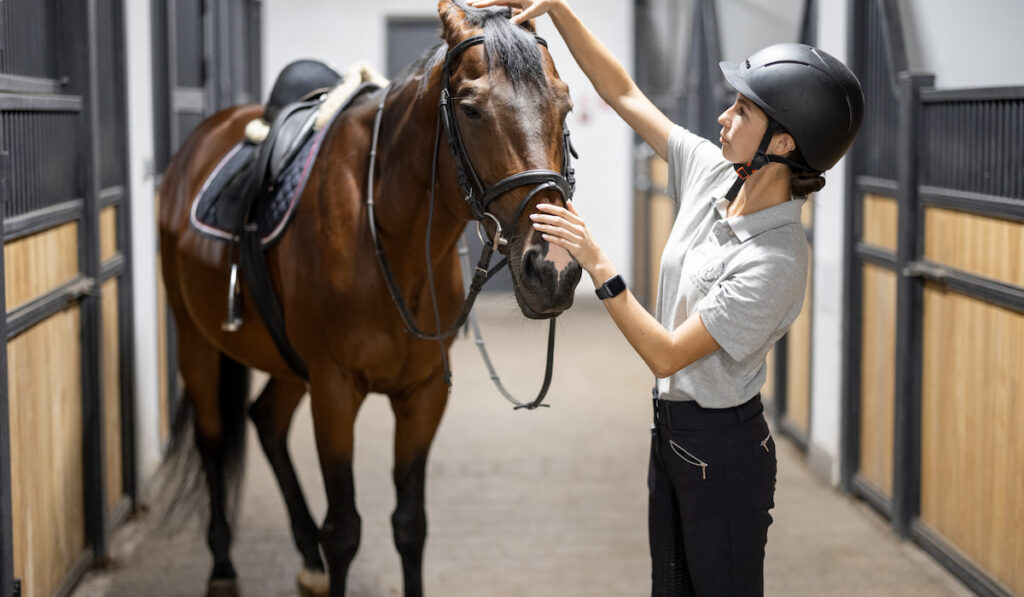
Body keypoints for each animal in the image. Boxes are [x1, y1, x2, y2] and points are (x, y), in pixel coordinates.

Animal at [155, 2, 581, 593]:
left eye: (564, 104)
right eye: (471, 109)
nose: (553, 268)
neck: (387, 237)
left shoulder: (423, 392)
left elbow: (410, 524)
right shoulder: (335, 390)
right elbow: (345, 530)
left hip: (291, 363)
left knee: (266, 421)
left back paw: (307, 562)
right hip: (196, 340)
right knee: (213, 439)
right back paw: (222, 568)